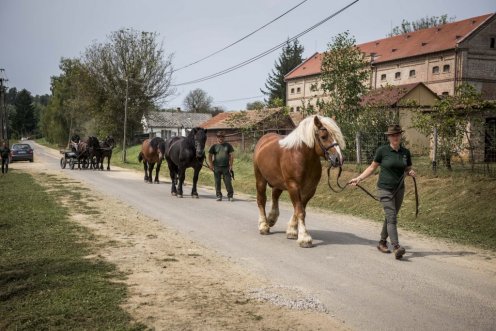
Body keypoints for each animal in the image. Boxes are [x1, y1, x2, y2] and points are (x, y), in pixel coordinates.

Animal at [254, 115, 342, 248]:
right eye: (323, 137)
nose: (338, 159)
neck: (301, 156)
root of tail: (263, 139)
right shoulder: (293, 186)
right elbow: (300, 211)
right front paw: (304, 238)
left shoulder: (310, 189)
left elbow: (300, 209)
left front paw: (292, 230)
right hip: (260, 179)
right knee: (261, 200)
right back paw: (263, 225)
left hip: (278, 182)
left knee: (275, 196)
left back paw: (271, 219)